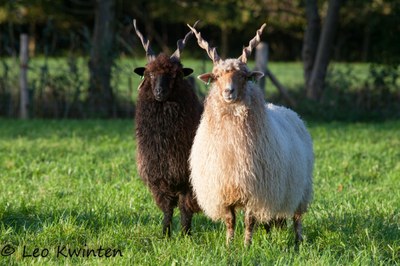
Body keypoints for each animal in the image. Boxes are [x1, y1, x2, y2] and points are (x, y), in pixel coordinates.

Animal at [134, 21, 203, 237]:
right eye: (149, 73)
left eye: (175, 75)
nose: (159, 92)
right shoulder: (159, 179)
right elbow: (167, 209)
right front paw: (165, 234)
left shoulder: (188, 182)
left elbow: (185, 208)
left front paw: (186, 235)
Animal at [189, 23, 314, 246]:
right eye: (216, 77)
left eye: (244, 76)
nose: (228, 92)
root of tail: (289, 112)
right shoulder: (225, 189)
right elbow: (230, 221)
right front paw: (229, 246)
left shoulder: (255, 191)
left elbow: (249, 221)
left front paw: (247, 246)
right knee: (271, 221)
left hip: (301, 188)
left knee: (297, 218)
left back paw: (298, 242)